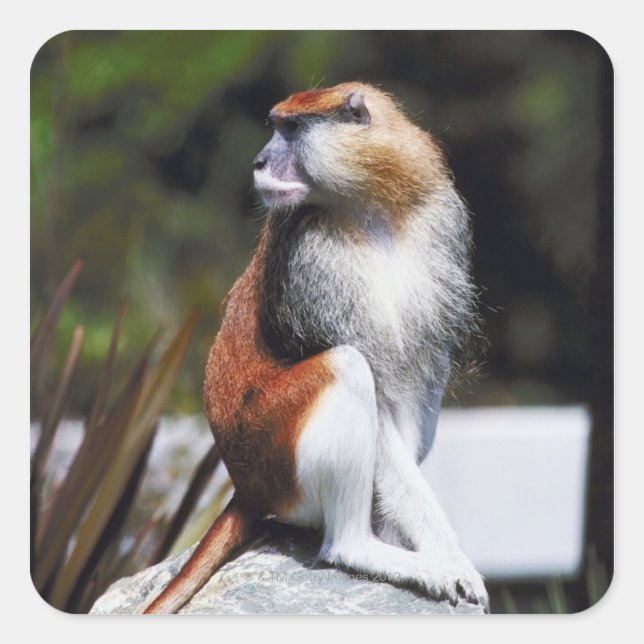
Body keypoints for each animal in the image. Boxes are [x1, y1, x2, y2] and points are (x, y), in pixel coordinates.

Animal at [143, 82, 488, 614]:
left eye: (290, 130)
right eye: (276, 127)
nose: (259, 162)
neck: (372, 205)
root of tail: (245, 487)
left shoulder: (441, 223)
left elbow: (411, 386)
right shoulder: (311, 260)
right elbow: (376, 402)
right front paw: (451, 562)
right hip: (276, 450)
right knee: (346, 367)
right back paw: (359, 547)